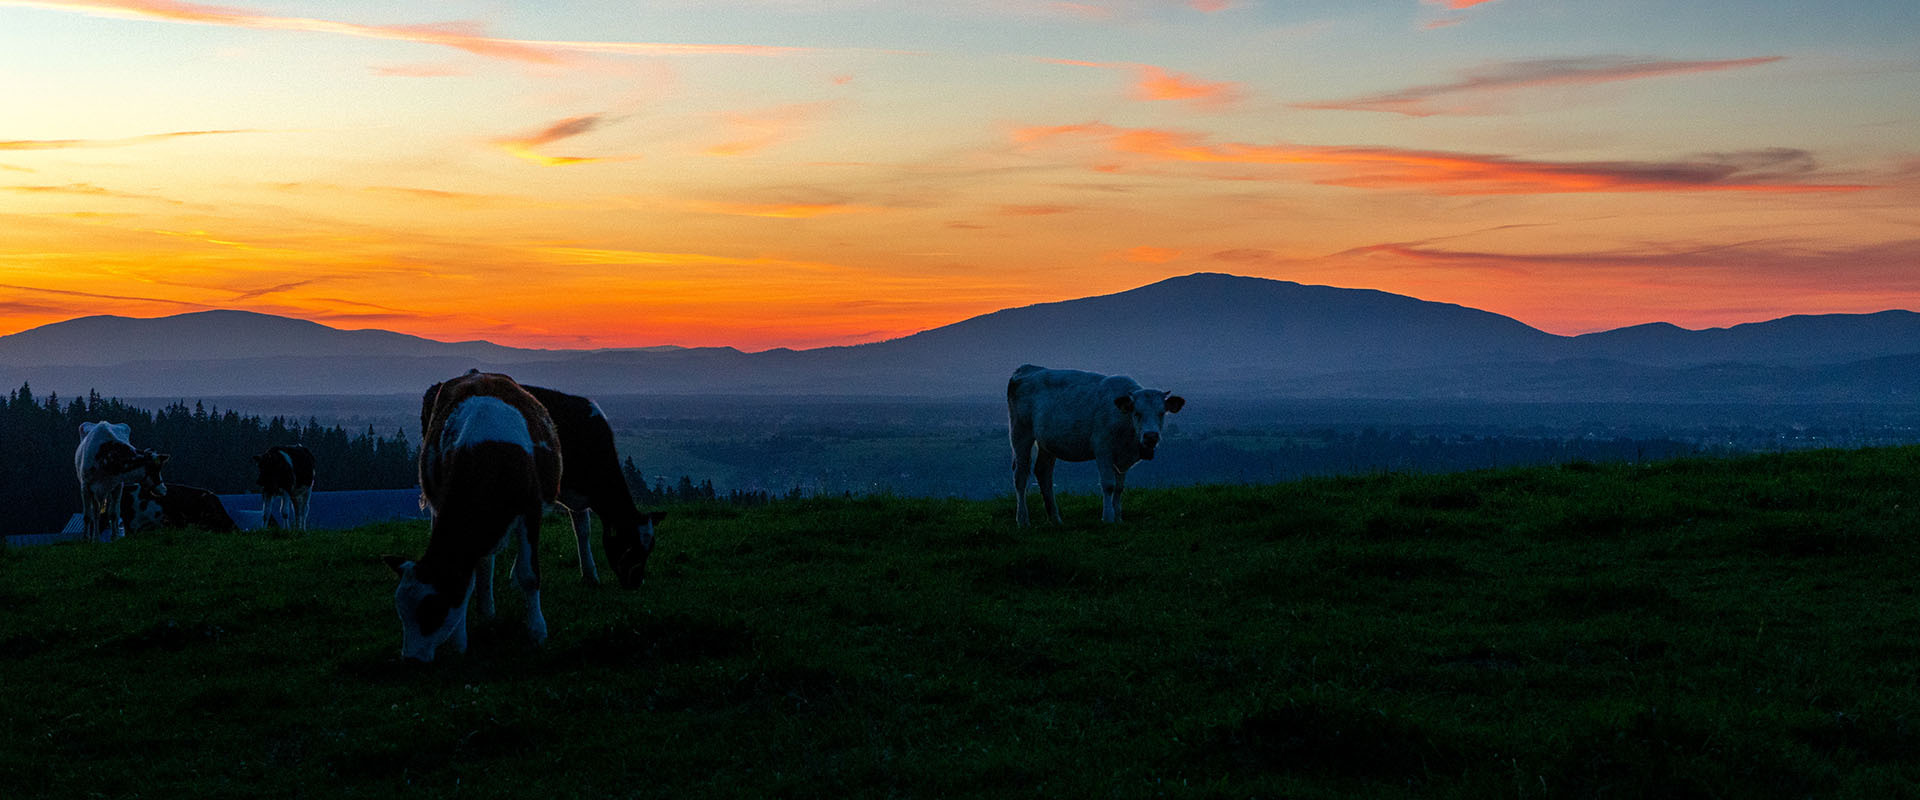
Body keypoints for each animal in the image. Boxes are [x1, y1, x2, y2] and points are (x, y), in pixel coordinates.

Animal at [1006, 360, 1182, 521]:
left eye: (1161, 413)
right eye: (1137, 413)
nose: (1151, 436)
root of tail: (1026, 368)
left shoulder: (1122, 456)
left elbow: (1119, 488)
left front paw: (1118, 518)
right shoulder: (1102, 448)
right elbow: (1109, 485)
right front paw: (1108, 518)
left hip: (1046, 443)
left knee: (1043, 473)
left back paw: (1055, 519)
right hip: (1020, 433)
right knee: (1020, 475)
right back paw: (1022, 520)